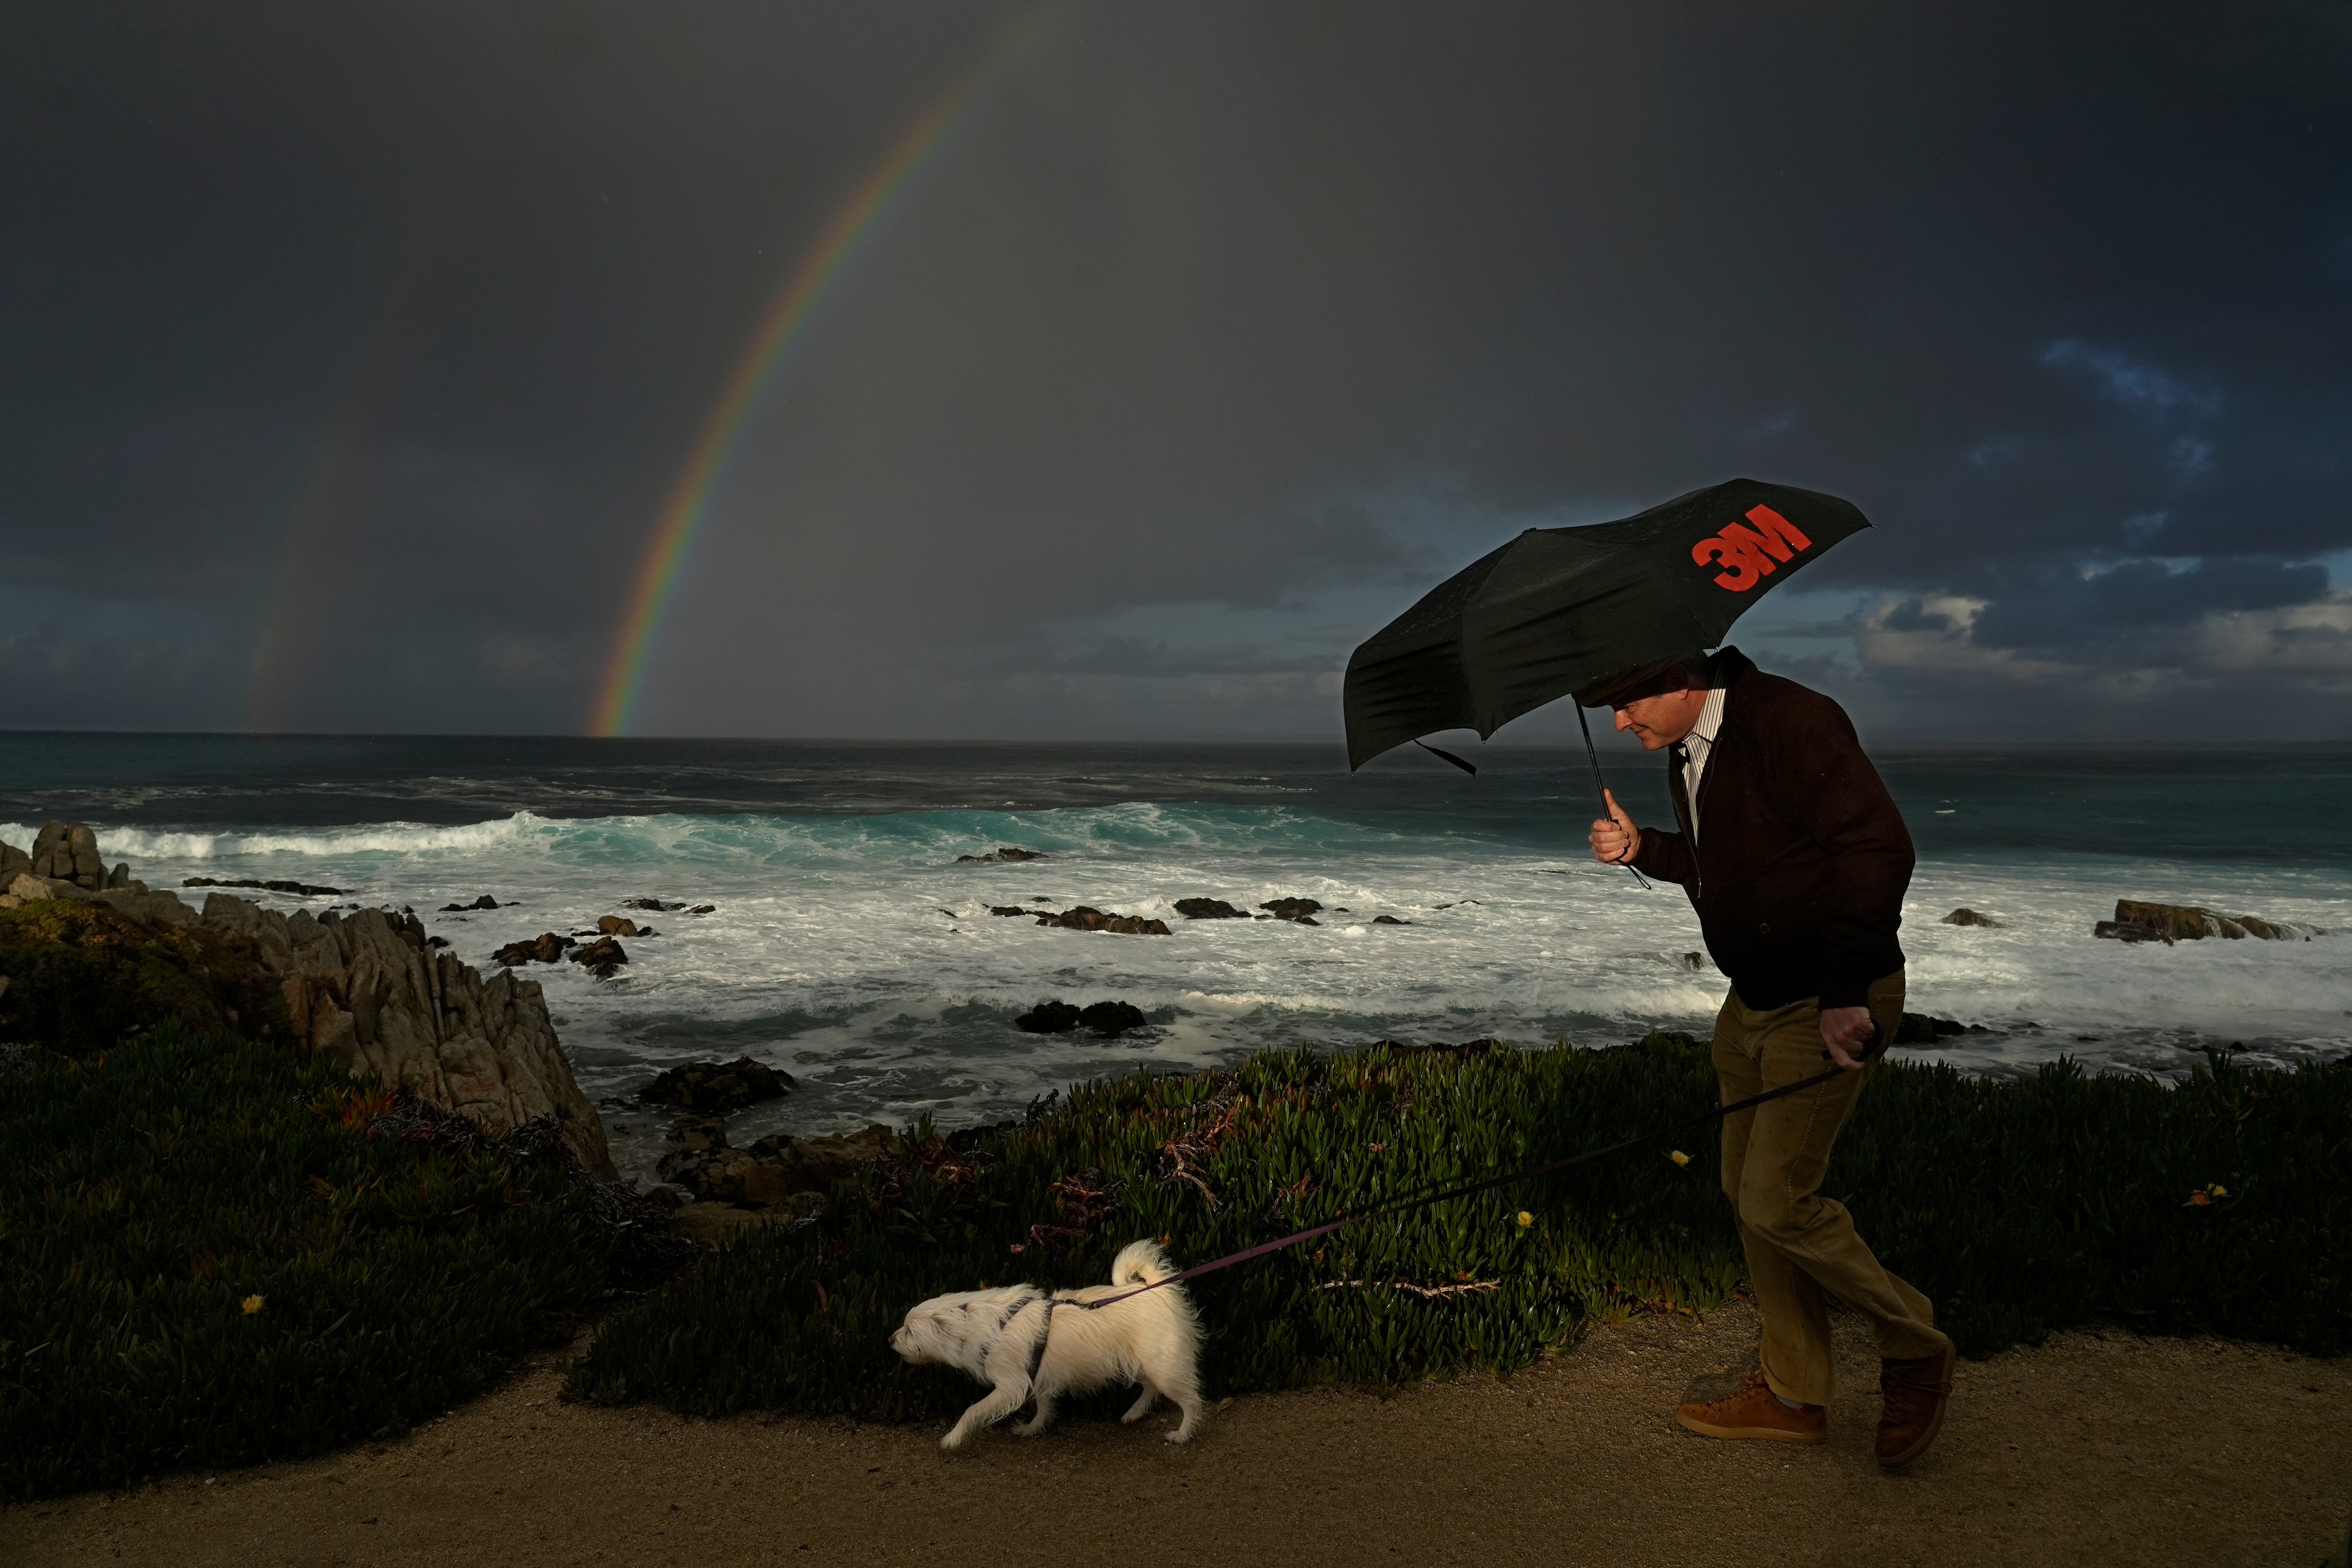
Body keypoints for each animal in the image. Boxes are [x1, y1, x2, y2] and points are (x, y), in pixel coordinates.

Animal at [889, 1241, 1204, 1448]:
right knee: (1150, 1388)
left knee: (1191, 1401)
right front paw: (1033, 1428)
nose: (890, 1340)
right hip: (1139, 1362)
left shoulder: (1010, 1385)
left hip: (1163, 1366)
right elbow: (1043, 1406)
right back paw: (1134, 1413)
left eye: (909, 1331)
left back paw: (1182, 1434)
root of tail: (1158, 1289)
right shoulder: (1038, 1376)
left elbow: (972, 1411)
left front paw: (952, 1438)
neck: (983, 1323)